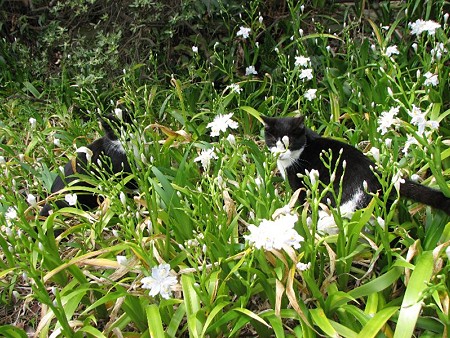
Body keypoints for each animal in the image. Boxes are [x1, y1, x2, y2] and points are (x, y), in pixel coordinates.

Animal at [260, 116, 450, 215]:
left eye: (289, 143)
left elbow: (300, 201)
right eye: (273, 141)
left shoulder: (298, 185)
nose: (280, 153)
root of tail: (378, 174)